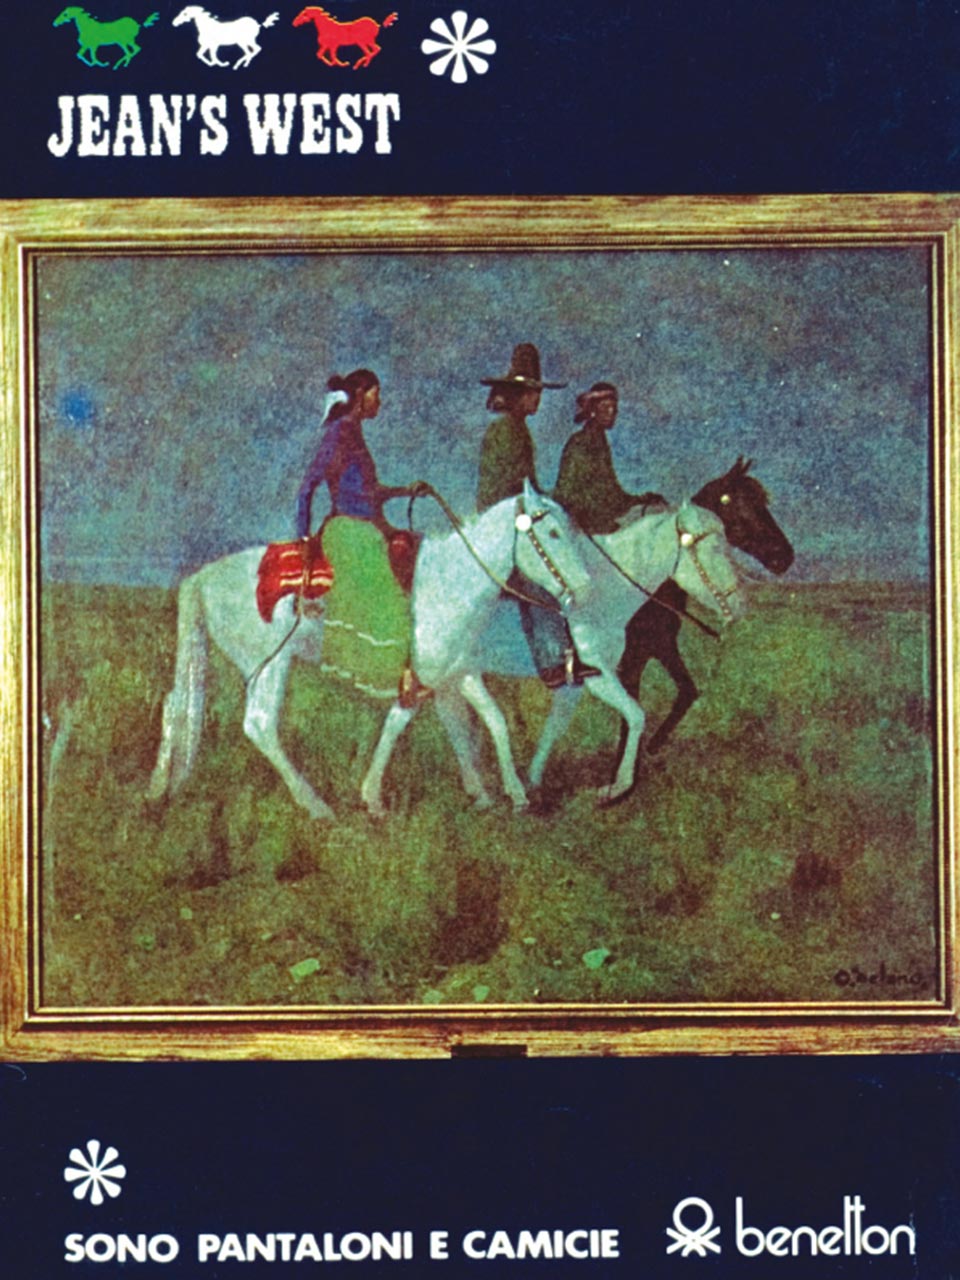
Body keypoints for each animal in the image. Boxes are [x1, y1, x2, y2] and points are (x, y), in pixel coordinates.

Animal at [146, 489, 591, 822]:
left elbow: (483, 723)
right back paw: (317, 806)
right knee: (259, 725)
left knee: (177, 705)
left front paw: (501, 794)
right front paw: (372, 797)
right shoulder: (420, 679)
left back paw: (159, 789)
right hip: (269, 663)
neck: (449, 583)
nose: (585, 588)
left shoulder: (457, 673)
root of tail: (204, 575)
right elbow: (398, 725)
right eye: (553, 533)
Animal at [360, 484, 747, 815]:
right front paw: (615, 789)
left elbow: (555, 727)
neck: (606, 590)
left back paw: (475, 793)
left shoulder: (576, 680)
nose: (740, 604)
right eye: (715, 548)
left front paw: (533, 782)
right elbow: (636, 714)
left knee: (448, 720)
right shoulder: (600, 675)